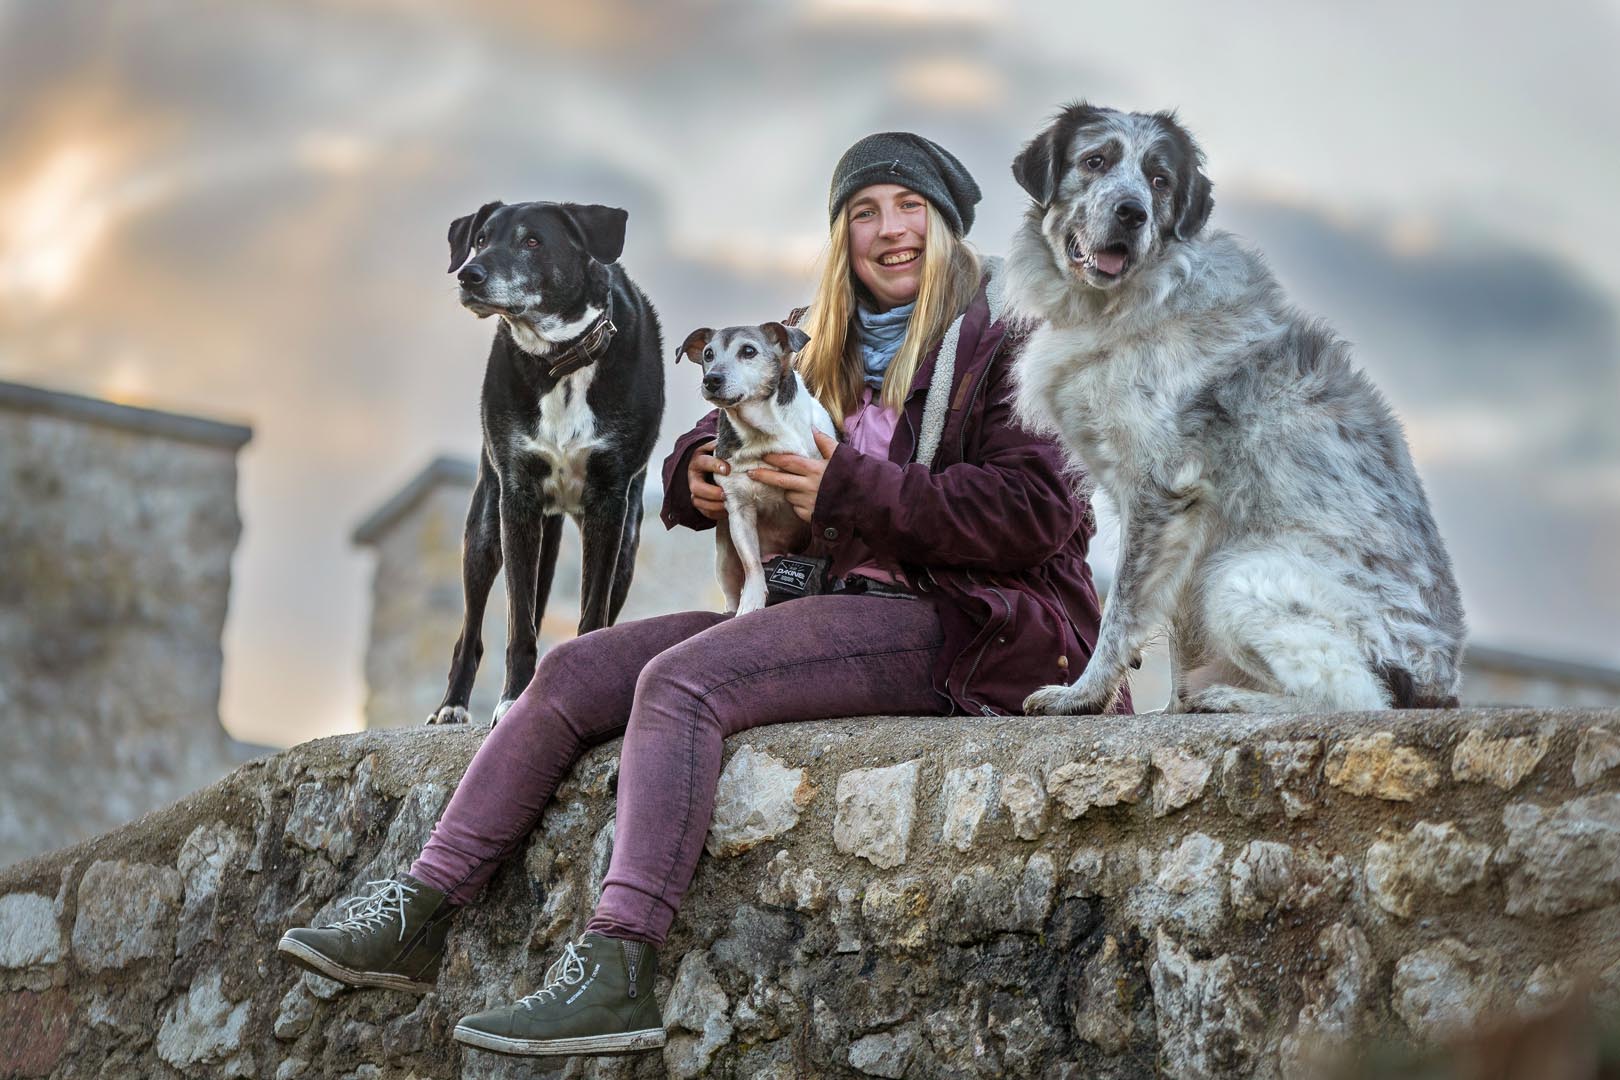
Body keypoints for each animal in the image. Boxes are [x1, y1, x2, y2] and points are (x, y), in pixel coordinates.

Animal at [427, 202, 667, 725]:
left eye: (532, 241)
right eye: (480, 239)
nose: (470, 275)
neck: (559, 360)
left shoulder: (610, 504)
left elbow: (592, 614)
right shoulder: (516, 498)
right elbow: (519, 625)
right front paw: (513, 698)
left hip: (626, 542)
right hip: (485, 526)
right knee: (472, 630)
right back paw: (453, 705)